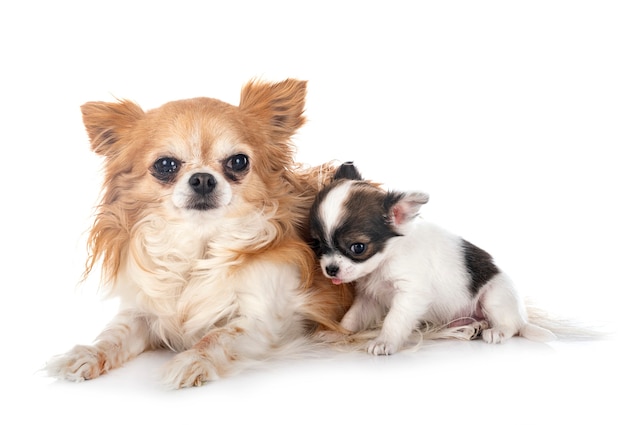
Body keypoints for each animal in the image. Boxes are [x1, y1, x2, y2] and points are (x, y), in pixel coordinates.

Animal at [45, 78, 352, 386]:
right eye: (165, 165)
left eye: (238, 161)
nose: (203, 178)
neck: (199, 244)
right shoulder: (144, 312)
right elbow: (114, 334)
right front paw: (87, 354)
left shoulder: (266, 322)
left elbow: (217, 336)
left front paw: (192, 360)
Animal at [308, 162, 552, 354]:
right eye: (317, 244)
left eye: (357, 248)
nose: (330, 269)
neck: (386, 260)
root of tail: (522, 317)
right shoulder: (369, 298)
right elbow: (352, 318)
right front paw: (337, 333)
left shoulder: (410, 294)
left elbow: (394, 320)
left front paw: (384, 342)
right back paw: (473, 328)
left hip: (495, 297)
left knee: (511, 325)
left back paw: (497, 331)